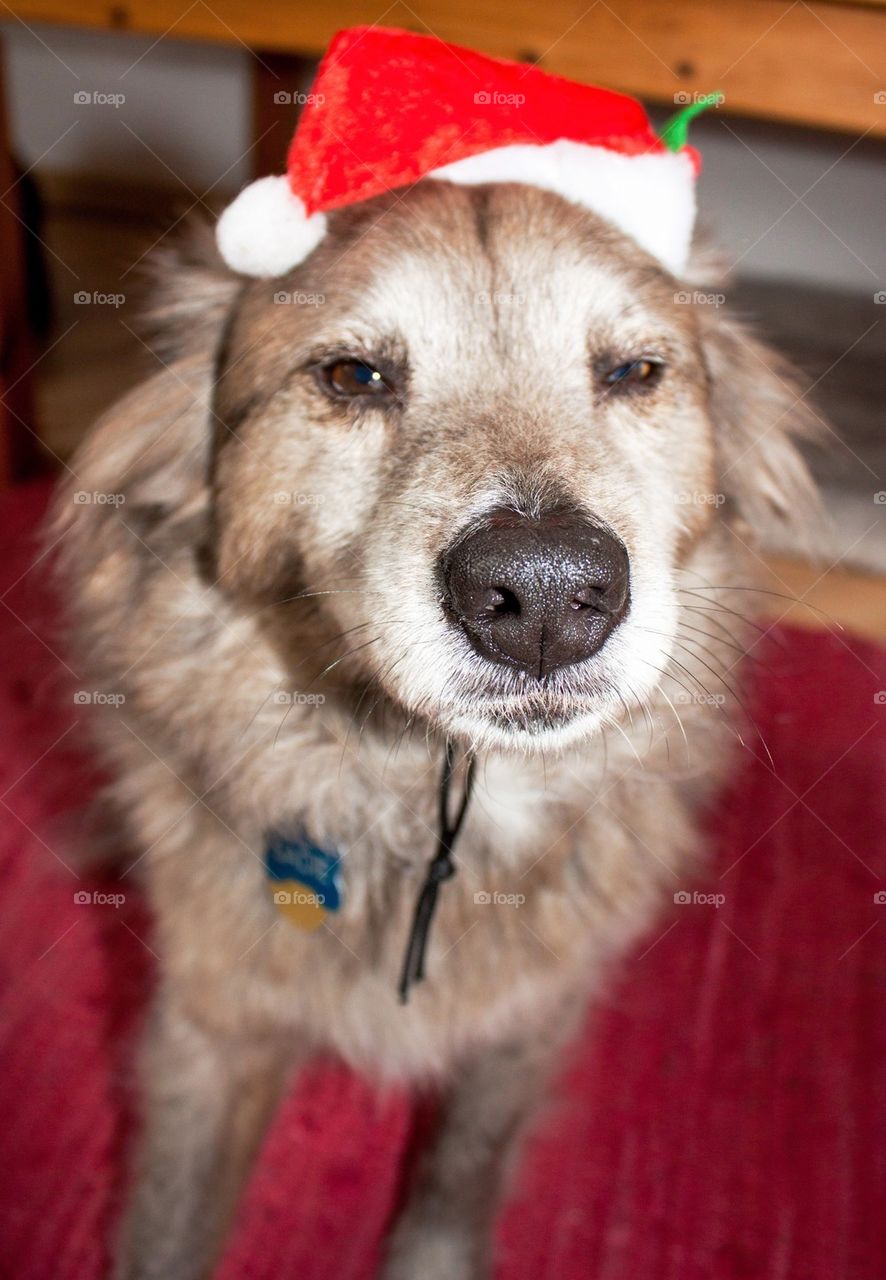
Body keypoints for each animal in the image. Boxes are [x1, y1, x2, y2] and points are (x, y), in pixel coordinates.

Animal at [53, 183, 814, 1280]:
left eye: (635, 371)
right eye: (352, 375)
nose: (545, 597)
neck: (435, 806)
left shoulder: (528, 1022)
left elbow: (458, 1180)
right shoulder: (209, 1028)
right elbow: (172, 1223)